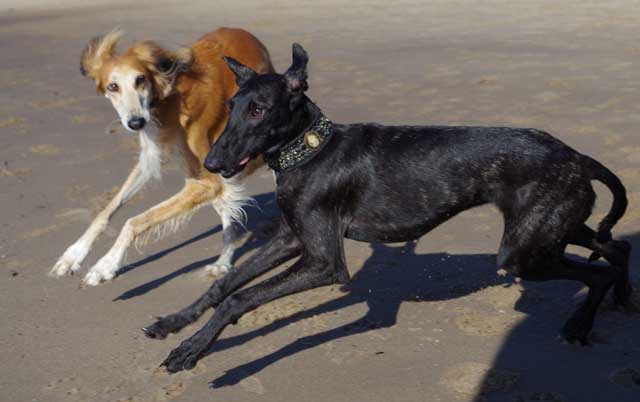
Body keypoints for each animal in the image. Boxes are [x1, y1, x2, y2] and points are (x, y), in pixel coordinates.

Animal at [48, 28, 272, 286]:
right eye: (112, 86)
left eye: (140, 79)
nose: (136, 123)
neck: (170, 99)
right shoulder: (152, 160)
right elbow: (107, 210)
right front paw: (74, 254)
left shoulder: (206, 182)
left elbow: (134, 221)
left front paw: (106, 264)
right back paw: (222, 262)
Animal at [144, 43, 632, 374]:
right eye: (232, 106)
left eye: (260, 110)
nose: (212, 165)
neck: (311, 150)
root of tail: (577, 157)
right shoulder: (290, 239)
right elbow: (225, 284)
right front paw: (173, 323)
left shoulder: (323, 262)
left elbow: (240, 297)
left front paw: (192, 350)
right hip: (556, 228)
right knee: (615, 248)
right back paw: (624, 299)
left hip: (524, 252)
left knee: (597, 269)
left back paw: (580, 326)